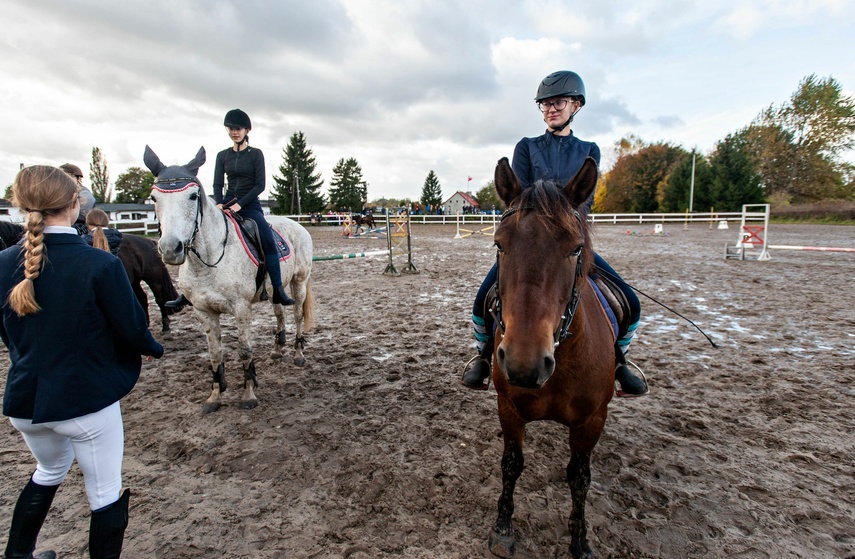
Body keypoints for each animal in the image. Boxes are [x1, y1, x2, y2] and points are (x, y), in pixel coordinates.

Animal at [0, 220, 181, 334]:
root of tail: (150, 242)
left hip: (153, 279)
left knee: (159, 300)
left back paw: (165, 327)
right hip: (135, 280)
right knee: (142, 298)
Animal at [145, 147, 316, 414]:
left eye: (193, 196)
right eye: (154, 198)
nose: (171, 249)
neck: (209, 261)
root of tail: (297, 224)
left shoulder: (241, 308)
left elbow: (244, 350)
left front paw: (248, 394)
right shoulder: (203, 311)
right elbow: (215, 353)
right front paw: (214, 397)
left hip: (299, 282)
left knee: (297, 315)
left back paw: (298, 354)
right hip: (274, 290)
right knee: (279, 314)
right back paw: (278, 349)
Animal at [484, 158, 612, 559]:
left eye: (575, 248)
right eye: (499, 244)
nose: (524, 363)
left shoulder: (592, 420)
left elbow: (580, 478)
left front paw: (580, 541)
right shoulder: (508, 409)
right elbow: (511, 464)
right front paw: (503, 527)